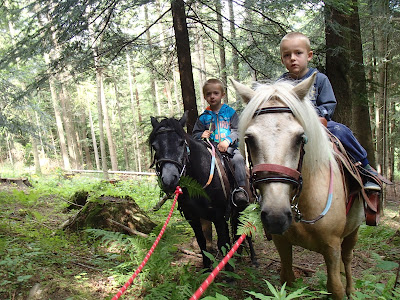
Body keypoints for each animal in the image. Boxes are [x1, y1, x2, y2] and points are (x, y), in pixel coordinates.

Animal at [231, 73, 366, 300]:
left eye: (299, 138)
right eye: (249, 139)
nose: (276, 216)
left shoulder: (332, 247)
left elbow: (335, 287)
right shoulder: (282, 243)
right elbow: (288, 278)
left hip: (353, 231)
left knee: (347, 259)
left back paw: (352, 291)